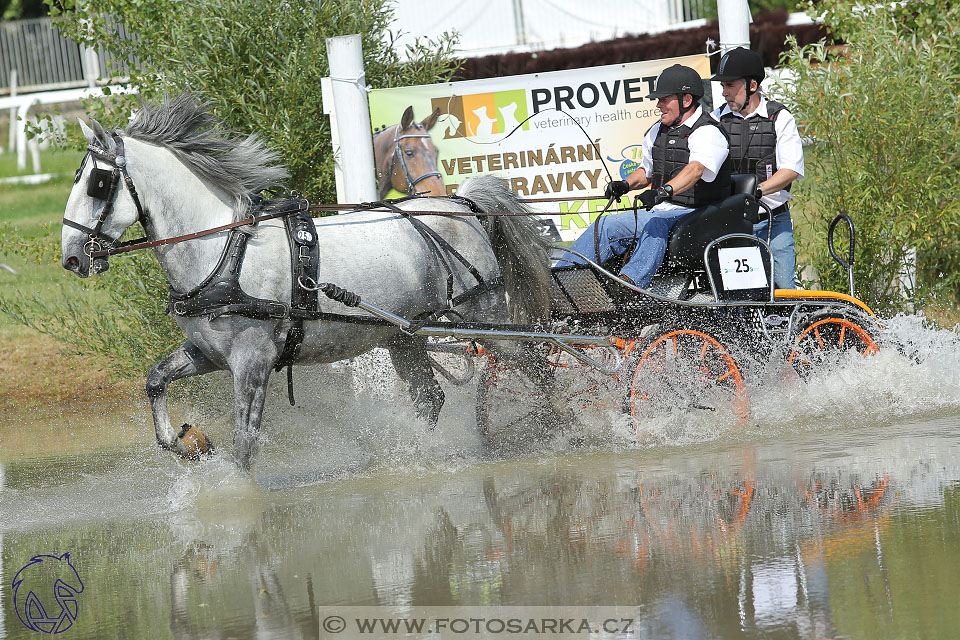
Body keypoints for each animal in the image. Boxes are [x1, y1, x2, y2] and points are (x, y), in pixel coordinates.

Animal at [62, 92, 548, 468]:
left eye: (97, 183)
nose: (71, 257)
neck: (222, 250)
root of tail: (462, 204)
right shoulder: (208, 351)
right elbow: (156, 380)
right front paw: (187, 443)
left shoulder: (252, 359)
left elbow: (244, 445)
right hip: (403, 335)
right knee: (430, 398)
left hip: (487, 319)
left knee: (536, 365)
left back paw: (556, 428)